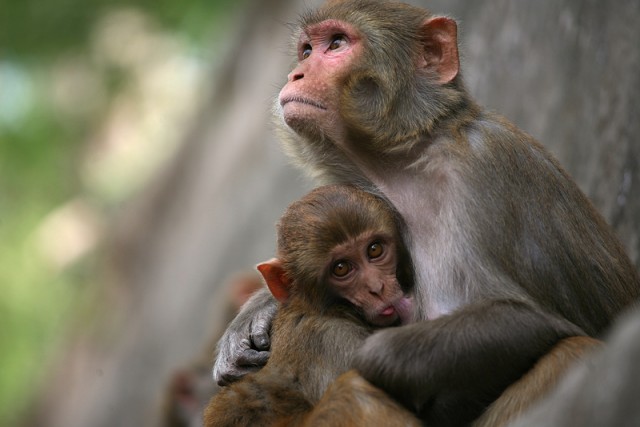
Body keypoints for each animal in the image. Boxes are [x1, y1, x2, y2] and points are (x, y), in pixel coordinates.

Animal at [215, 1, 640, 426]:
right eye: (305, 51)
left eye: (336, 43)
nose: (295, 73)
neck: (410, 162)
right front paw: (251, 320)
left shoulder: (482, 168)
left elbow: (525, 318)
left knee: (570, 351)